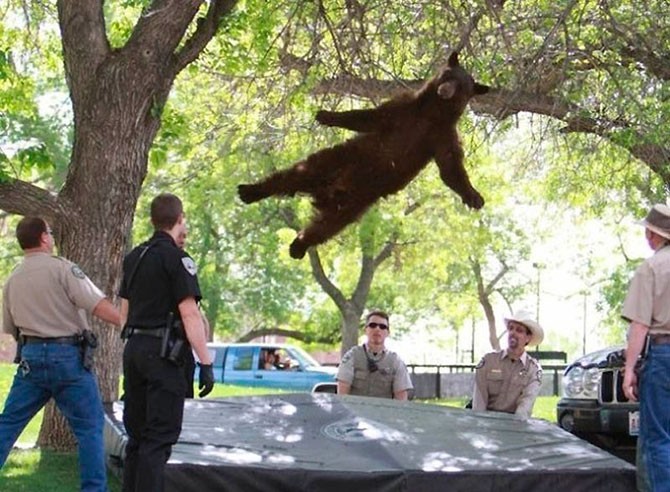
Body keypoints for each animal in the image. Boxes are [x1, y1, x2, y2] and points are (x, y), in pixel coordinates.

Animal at [239, 52, 490, 260]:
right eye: (448, 75)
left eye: (462, 86)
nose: (446, 89)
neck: (432, 112)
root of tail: (326, 193)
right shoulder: (404, 109)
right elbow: (368, 117)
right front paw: (326, 115)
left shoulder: (442, 135)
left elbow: (450, 167)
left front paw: (474, 196)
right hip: (336, 160)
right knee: (293, 175)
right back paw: (251, 190)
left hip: (355, 203)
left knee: (325, 227)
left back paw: (298, 245)